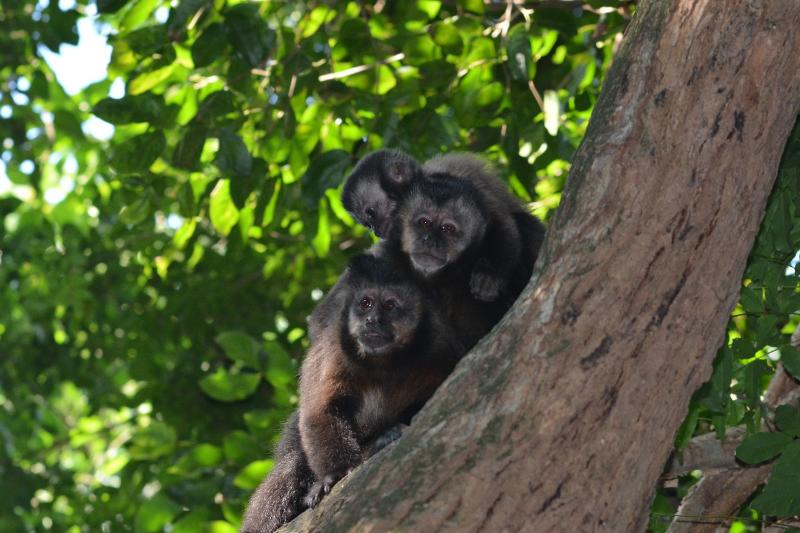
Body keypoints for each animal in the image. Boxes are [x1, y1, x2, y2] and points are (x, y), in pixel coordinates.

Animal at [243, 254, 464, 532]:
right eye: (365, 303)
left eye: (390, 305)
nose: (372, 320)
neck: (384, 364)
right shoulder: (335, 348)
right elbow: (319, 411)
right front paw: (335, 475)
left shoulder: (439, 347)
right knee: (291, 464)